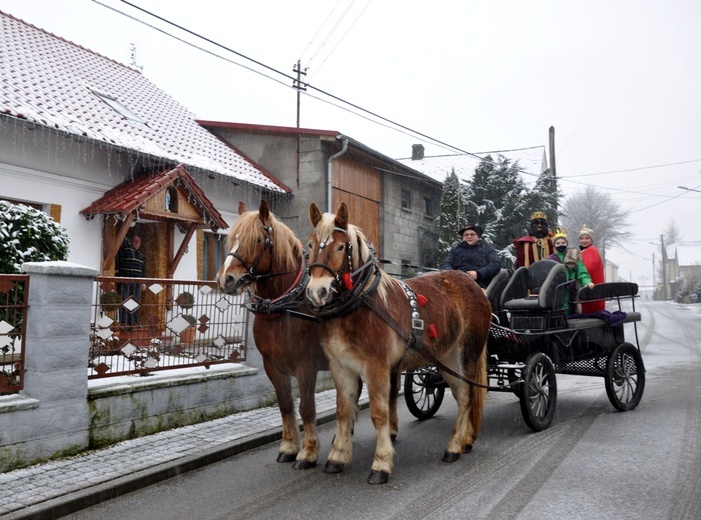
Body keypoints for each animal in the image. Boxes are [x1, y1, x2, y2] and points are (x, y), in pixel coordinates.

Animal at [216, 199, 326, 468]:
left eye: (257, 240)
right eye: (232, 238)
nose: (226, 279)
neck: (282, 308)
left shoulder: (306, 366)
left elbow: (307, 408)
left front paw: (308, 452)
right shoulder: (272, 365)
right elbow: (285, 405)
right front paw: (288, 447)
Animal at [304, 202, 490, 484]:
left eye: (341, 247)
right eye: (311, 244)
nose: (318, 291)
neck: (361, 305)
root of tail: (474, 285)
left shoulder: (377, 366)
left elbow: (379, 413)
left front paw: (381, 464)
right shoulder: (341, 367)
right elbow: (344, 410)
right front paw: (337, 457)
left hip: (466, 354)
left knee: (468, 396)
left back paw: (453, 446)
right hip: (445, 359)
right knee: (462, 396)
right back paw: (462, 442)